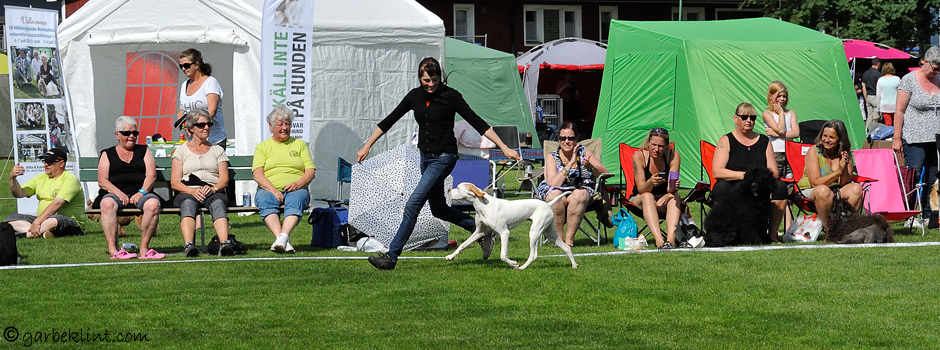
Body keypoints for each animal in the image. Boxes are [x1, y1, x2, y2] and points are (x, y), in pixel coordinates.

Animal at [444, 182, 576, 270]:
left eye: (458, 188)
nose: (448, 189)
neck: (483, 205)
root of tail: (548, 204)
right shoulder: (479, 232)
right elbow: (462, 245)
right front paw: (451, 256)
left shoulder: (504, 233)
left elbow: (503, 255)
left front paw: (514, 264)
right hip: (550, 233)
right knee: (566, 248)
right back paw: (574, 265)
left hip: (534, 232)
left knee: (533, 255)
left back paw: (522, 267)